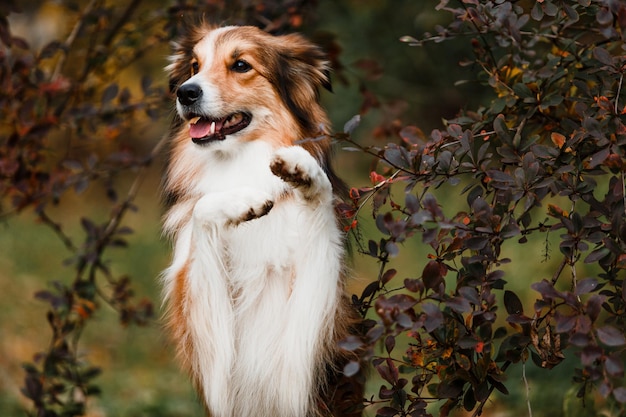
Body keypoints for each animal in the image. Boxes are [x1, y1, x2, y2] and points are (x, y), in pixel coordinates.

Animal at [160, 25, 360, 416]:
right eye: (194, 65)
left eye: (241, 65)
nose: (185, 92)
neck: (239, 163)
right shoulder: (215, 370)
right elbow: (203, 207)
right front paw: (242, 201)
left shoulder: (302, 360)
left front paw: (305, 172)